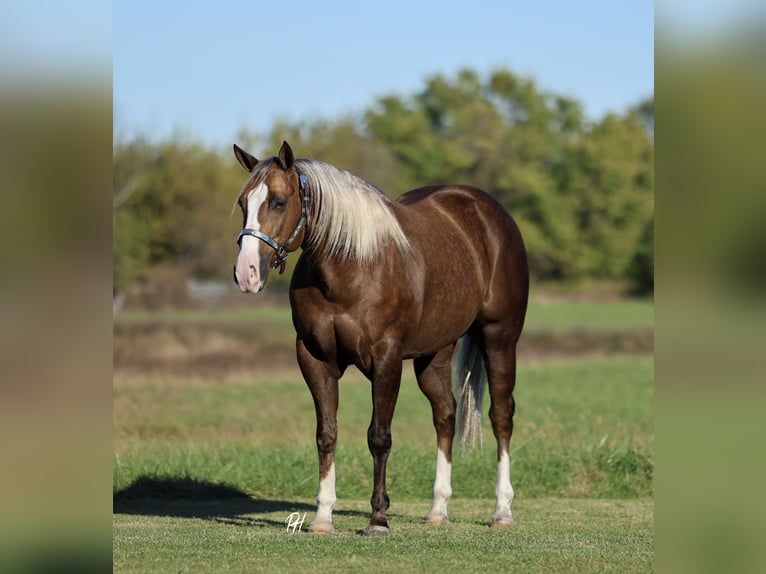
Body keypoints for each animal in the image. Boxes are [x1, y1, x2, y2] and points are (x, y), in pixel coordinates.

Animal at [232, 141, 528, 535]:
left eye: (279, 202)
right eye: (243, 203)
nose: (246, 273)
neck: (350, 266)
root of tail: (491, 212)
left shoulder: (386, 359)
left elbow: (379, 436)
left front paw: (378, 518)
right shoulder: (314, 358)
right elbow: (327, 433)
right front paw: (323, 517)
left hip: (500, 339)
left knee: (501, 416)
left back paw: (502, 510)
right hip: (434, 354)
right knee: (445, 415)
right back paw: (438, 509)